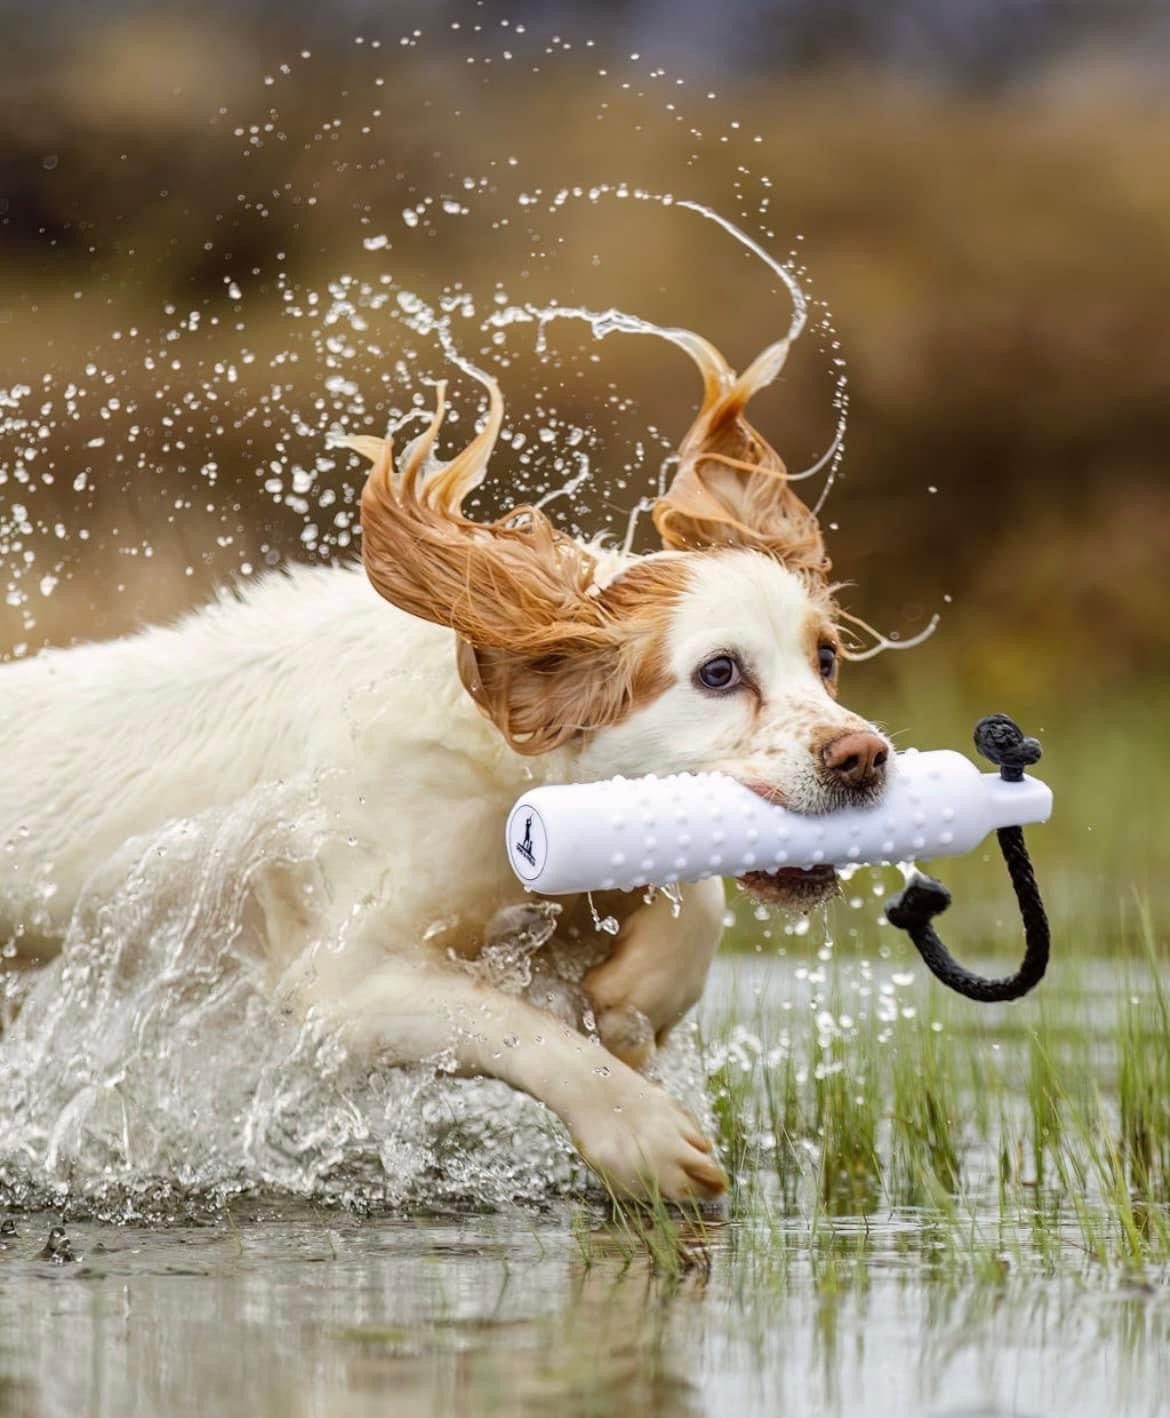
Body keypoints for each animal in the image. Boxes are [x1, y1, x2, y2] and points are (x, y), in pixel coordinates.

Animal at [0, 326, 884, 1202]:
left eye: (827, 659)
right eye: (719, 672)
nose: (865, 756)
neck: (501, 772)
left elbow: (693, 903)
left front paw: (633, 998)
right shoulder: (340, 986)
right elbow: (507, 1024)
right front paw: (643, 1134)